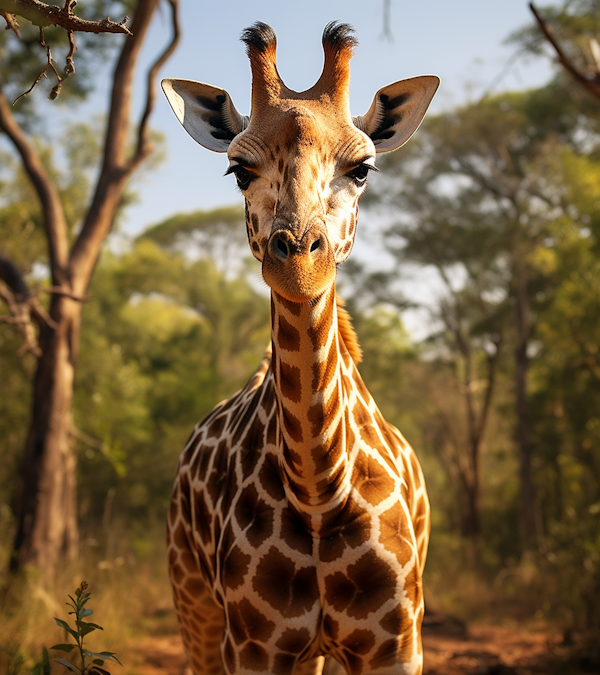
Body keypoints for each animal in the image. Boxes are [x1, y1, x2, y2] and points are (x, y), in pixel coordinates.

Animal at [162, 21, 438, 675]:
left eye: (362, 168)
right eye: (238, 169)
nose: (299, 264)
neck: (318, 490)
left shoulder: (398, 642)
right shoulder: (254, 646)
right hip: (193, 604)